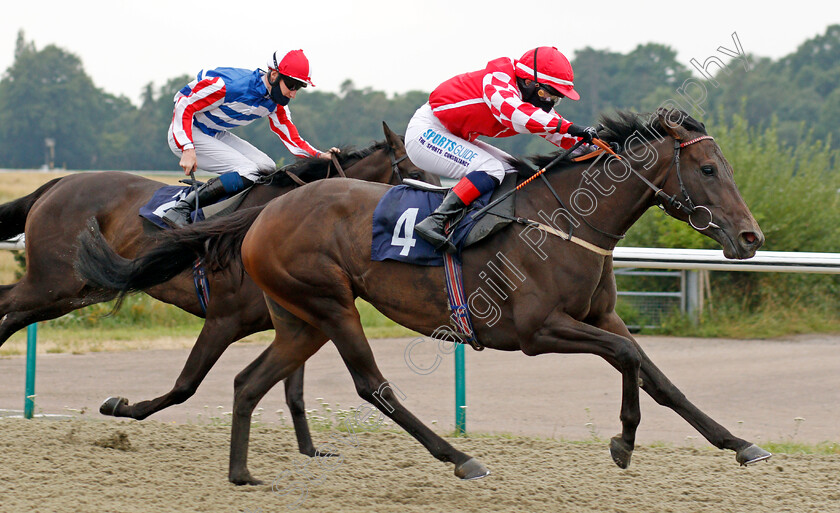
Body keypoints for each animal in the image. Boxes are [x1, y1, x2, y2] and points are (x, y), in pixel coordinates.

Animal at [0, 122, 434, 454]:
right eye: (418, 174)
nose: (432, 222)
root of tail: (57, 183)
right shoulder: (224, 319)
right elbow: (184, 386)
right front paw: (118, 406)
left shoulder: (299, 318)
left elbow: (293, 392)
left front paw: (311, 450)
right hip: (54, 283)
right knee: (8, 306)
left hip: (77, 289)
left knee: (11, 310)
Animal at [75, 109, 772, 484]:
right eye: (709, 169)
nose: (750, 237)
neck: (565, 220)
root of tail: (268, 209)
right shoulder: (536, 332)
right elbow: (627, 360)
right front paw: (624, 441)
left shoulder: (600, 316)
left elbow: (656, 374)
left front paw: (739, 443)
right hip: (331, 304)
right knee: (372, 386)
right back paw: (460, 458)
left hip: (300, 318)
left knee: (249, 382)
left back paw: (240, 472)